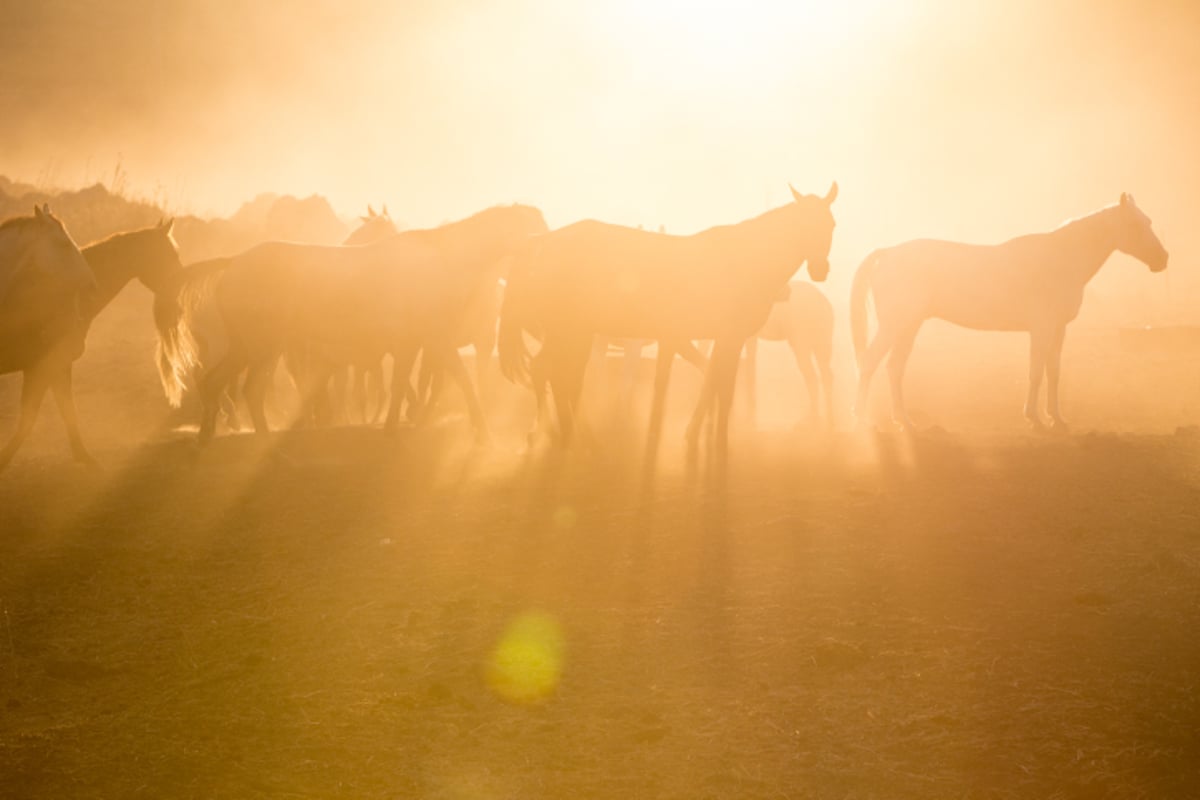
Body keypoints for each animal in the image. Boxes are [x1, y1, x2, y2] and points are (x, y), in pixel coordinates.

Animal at [1, 212, 180, 472]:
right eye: (171, 256)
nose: (178, 302)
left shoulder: (56, 368)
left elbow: (66, 411)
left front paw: (83, 456)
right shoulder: (44, 368)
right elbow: (32, 418)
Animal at [159, 203, 549, 443]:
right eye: (535, 226)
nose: (546, 246)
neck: (442, 261)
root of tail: (235, 261)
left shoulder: (415, 344)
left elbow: (403, 386)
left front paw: (392, 428)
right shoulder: (433, 341)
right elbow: (458, 382)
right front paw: (482, 434)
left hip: (255, 347)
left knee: (229, 386)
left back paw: (228, 437)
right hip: (260, 346)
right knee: (236, 387)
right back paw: (238, 437)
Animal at [739, 283, 835, 431]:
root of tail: (824, 303)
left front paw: (749, 419)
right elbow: (750, 364)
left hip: (802, 344)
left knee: (812, 377)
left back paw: (812, 419)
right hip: (822, 344)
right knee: (826, 376)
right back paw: (830, 421)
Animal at [854, 191, 1171, 431]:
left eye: (1148, 221)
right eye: (1134, 225)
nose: (1162, 259)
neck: (1061, 260)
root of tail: (888, 252)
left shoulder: (1058, 329)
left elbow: (1054, 372)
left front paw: (1057, 418)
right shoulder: (1041, 329)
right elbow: (1035, 372)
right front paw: (1034, 418)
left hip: (909, 326)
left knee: (895, 368)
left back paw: (905, 422)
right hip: (895, 326)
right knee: (869, 363)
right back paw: (862, 423)